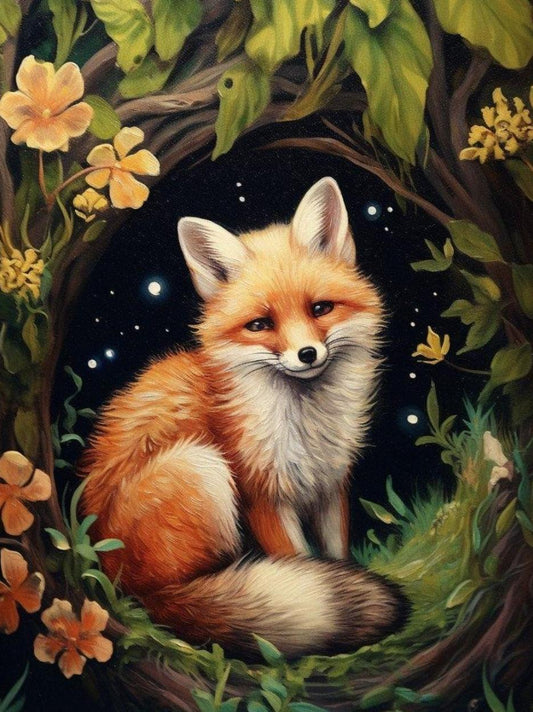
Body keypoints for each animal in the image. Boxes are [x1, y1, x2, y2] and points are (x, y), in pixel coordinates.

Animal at [80, 177, 408, 659]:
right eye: (260, 325)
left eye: (320, 309)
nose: (307, 354)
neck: (306, 424)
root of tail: (117, 579)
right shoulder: (262, 496)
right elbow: (299, 560)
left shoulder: (330, 485)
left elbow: (335, 556)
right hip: (201, 466)